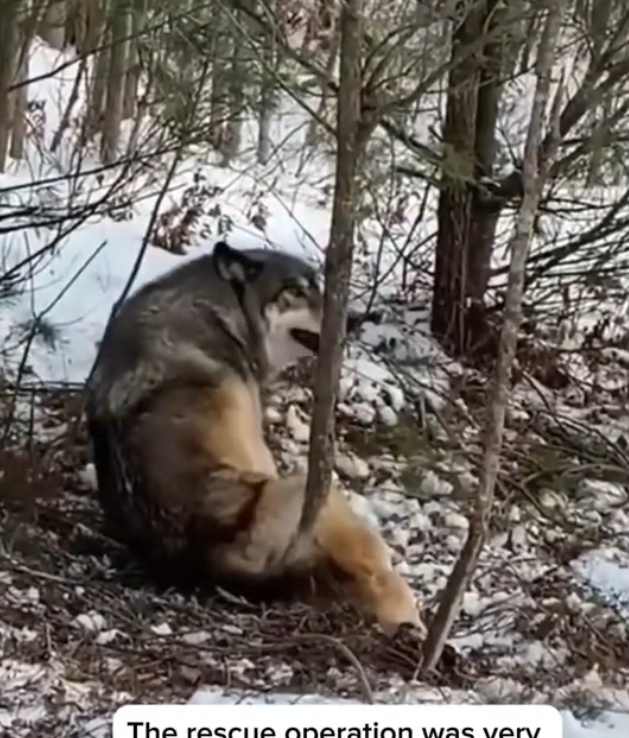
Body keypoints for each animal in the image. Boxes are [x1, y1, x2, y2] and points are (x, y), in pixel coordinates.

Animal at [85, 240, 423, 636]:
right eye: (295, 290)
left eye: (317, 285)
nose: (354, 319)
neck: (222, 316)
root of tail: (210, 556)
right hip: (311, 489)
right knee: (377, 574)